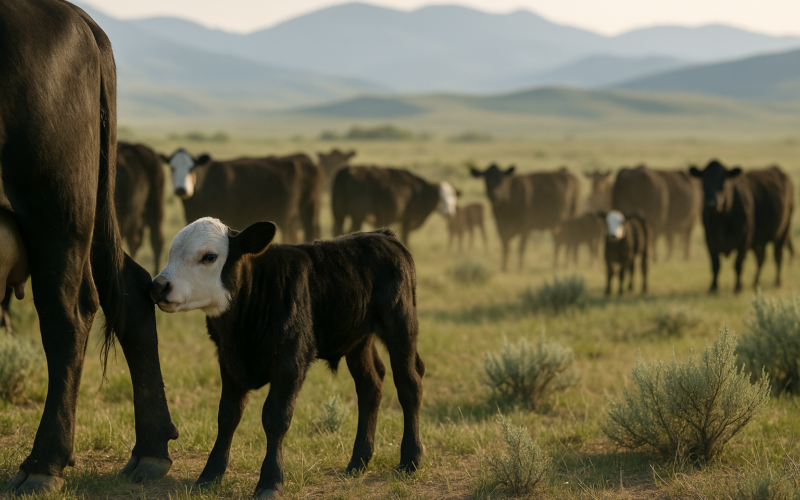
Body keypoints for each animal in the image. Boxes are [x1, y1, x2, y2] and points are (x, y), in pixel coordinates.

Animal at [150, 218, 425, 499]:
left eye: (209, 257)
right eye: (172, 252)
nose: (158, 285)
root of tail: (383, 235)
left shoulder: (291, 359)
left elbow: (275, 416)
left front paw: (270, 481)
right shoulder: (229, 359)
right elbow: (227, 416)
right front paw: (209, 475)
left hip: (401, 325)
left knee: (409, 385)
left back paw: (410, 459)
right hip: (358, 339)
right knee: (371, 386)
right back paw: (358, 461)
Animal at [689, 160, 794, 293]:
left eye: (724, 180)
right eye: (704, 180)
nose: (713, 203)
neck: (722, 220)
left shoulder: (744, 240)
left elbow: (738, 264)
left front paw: (738, 287)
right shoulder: (710, 240)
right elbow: (715, 264)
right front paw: (713, 287)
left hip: (782, 233)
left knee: (778, 257)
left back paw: (777, 282)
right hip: (759, 241)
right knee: (761, 259)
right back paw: (755, 282)